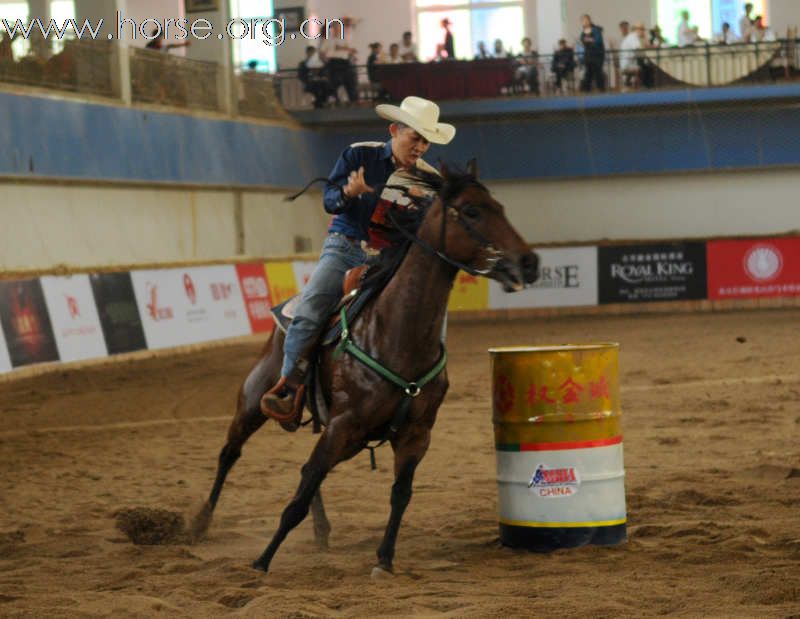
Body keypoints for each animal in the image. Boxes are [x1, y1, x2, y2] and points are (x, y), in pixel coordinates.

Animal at [191, 160, 540, 576]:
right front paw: (262, 561)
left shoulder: (415, 435)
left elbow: (399, 495)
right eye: (472, 211)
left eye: (500, 207)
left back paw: (321, 529)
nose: (529, 262)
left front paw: (384, 560)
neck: (396, 332)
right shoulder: (343, 426)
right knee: (231, 452)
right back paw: (200, 523)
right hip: (255, 396)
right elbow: (297, 498)